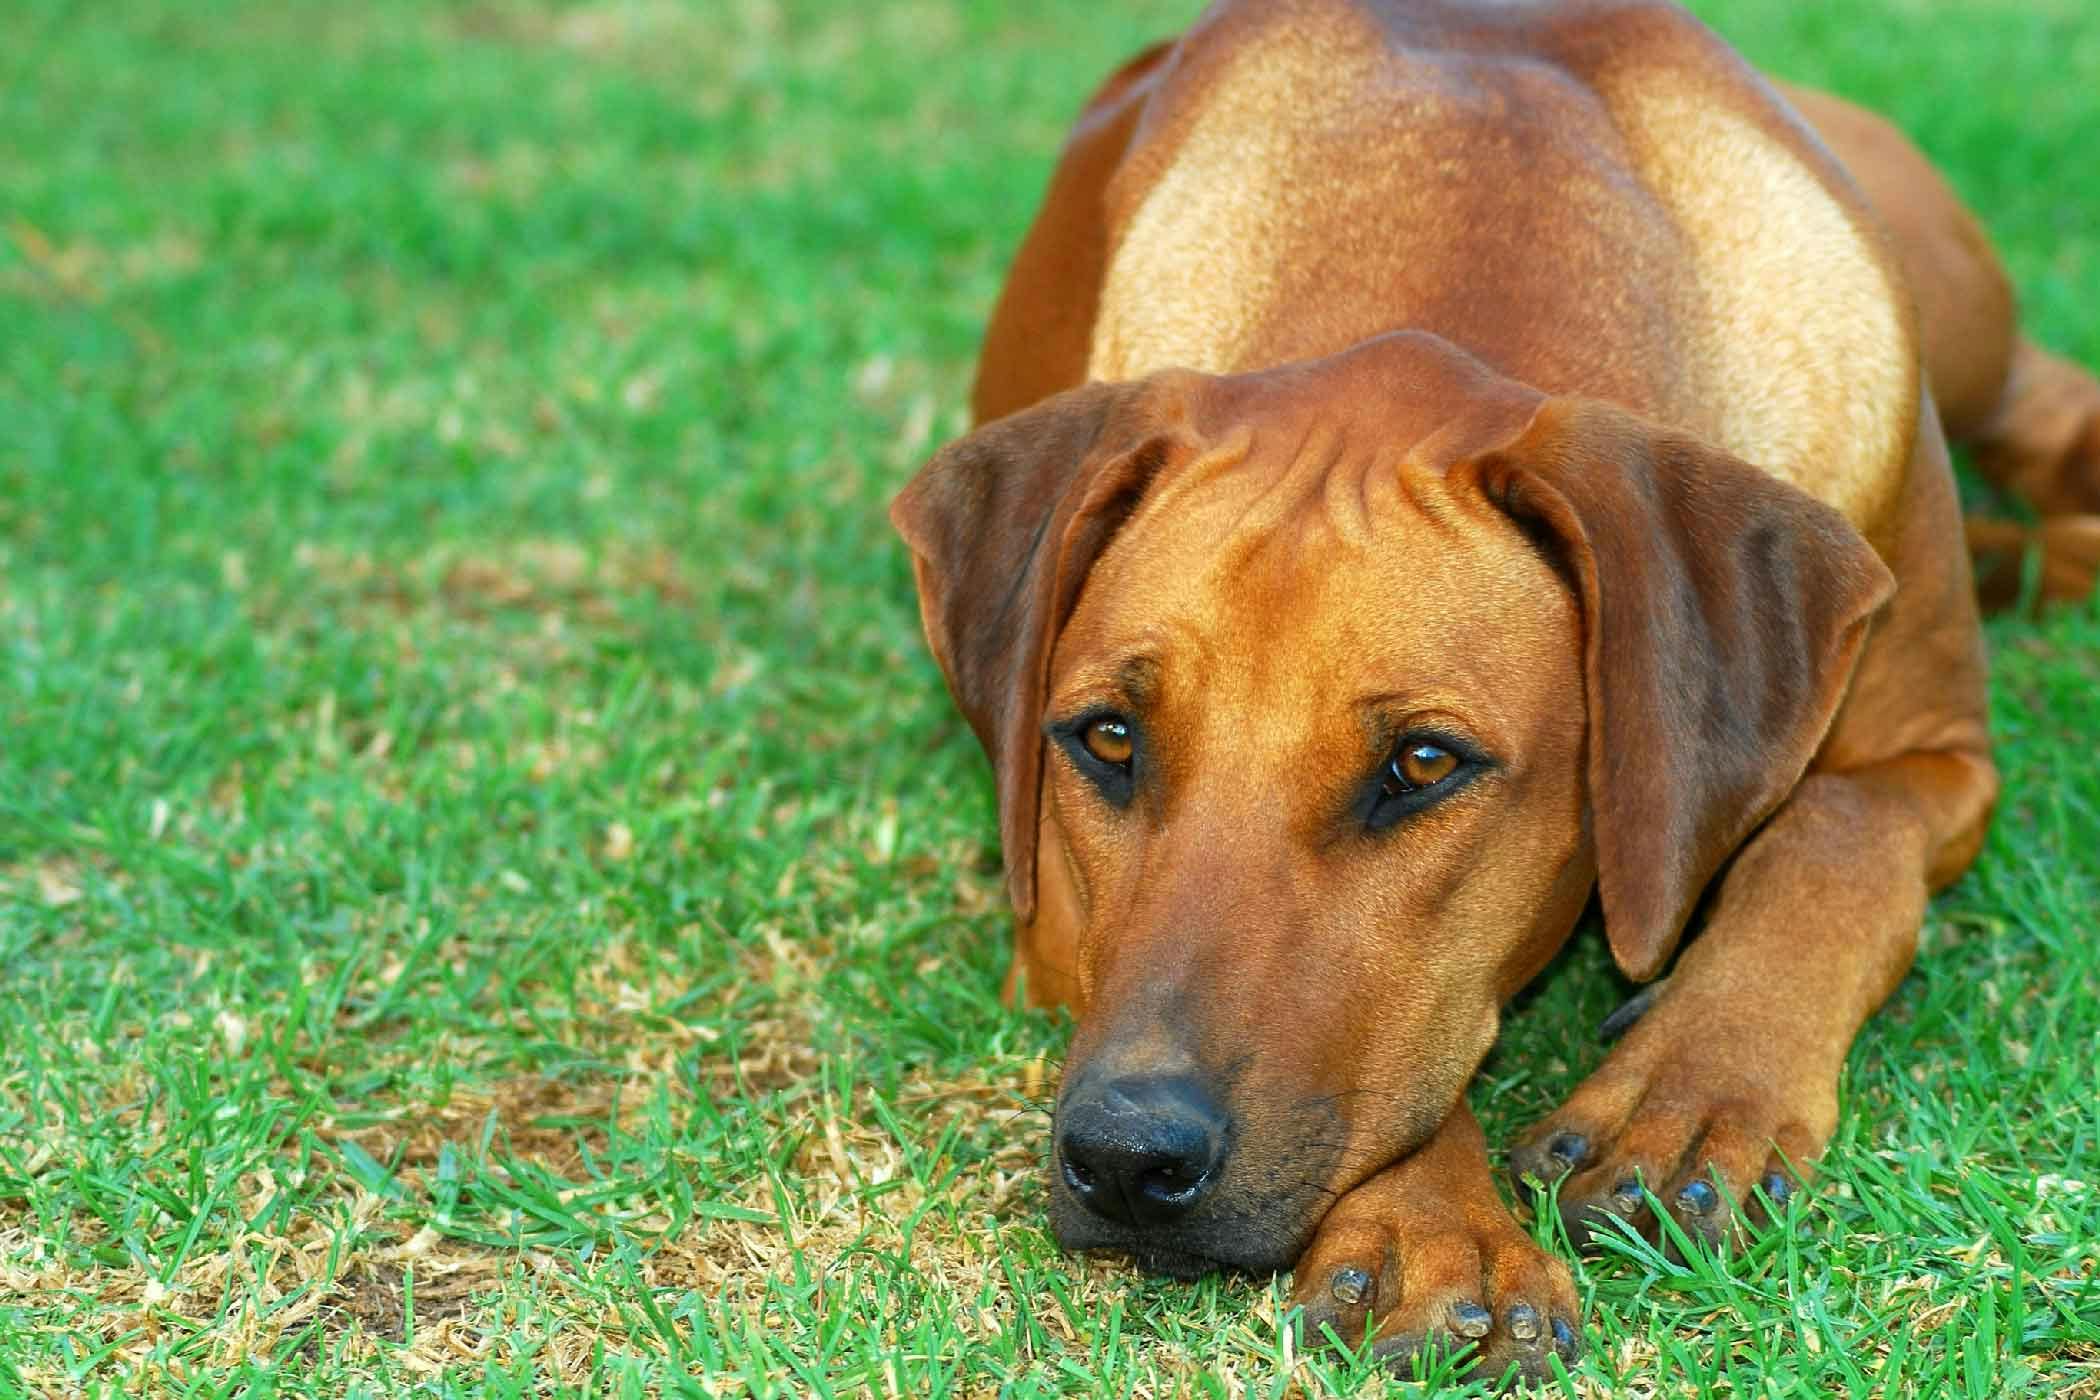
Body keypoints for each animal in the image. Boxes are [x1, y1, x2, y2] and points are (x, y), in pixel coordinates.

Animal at [886, 0, 2100, 1376]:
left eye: (1424, 763)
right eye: (1104, 738)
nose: (1128, 1156)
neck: (1473, 195)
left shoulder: (1940, 752)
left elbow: (1835, 837)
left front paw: (1693, 1089)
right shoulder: (1051, 926)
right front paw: (1433, 1224)